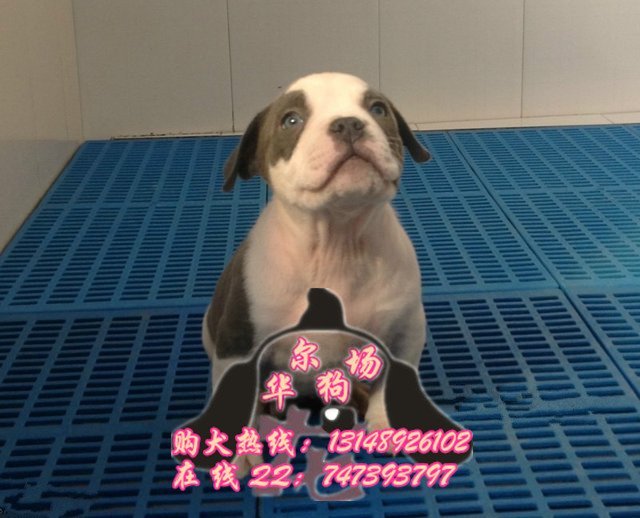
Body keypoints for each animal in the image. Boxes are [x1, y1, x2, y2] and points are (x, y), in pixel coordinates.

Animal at [202, 72, 431, 474]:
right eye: (291, 120)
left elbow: (391, 382)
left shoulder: (406, 333)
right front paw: (241, 449)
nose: (349, 123)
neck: (336, 244)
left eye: (377, 109)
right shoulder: (237, 342)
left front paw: (385, 423)